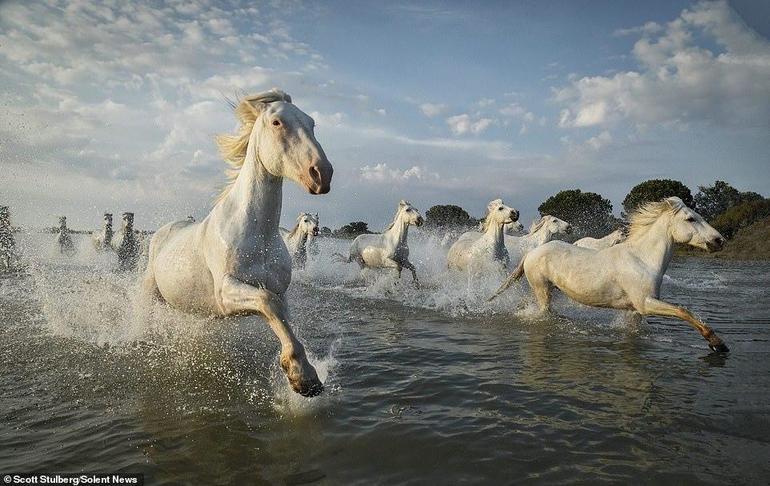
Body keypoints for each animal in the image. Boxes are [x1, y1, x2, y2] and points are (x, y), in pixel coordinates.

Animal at [144, 89, 330, 396]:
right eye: (277, 122)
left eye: (312, 123)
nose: (322, 174)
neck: (258, 234)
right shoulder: (226, 292)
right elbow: (268, 303)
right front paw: (302, 377)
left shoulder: (279, 291)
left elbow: (281, 317)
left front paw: (303, 377)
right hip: (149, 292)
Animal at [488, 197, 728, 354]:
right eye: (690, 219)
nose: (719, 240)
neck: (643, 259)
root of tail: (531, 253)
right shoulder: (645, 303)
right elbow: (683, 311)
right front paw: (718, 343)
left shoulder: (634, 311)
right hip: (542, 290)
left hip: (545, 289)